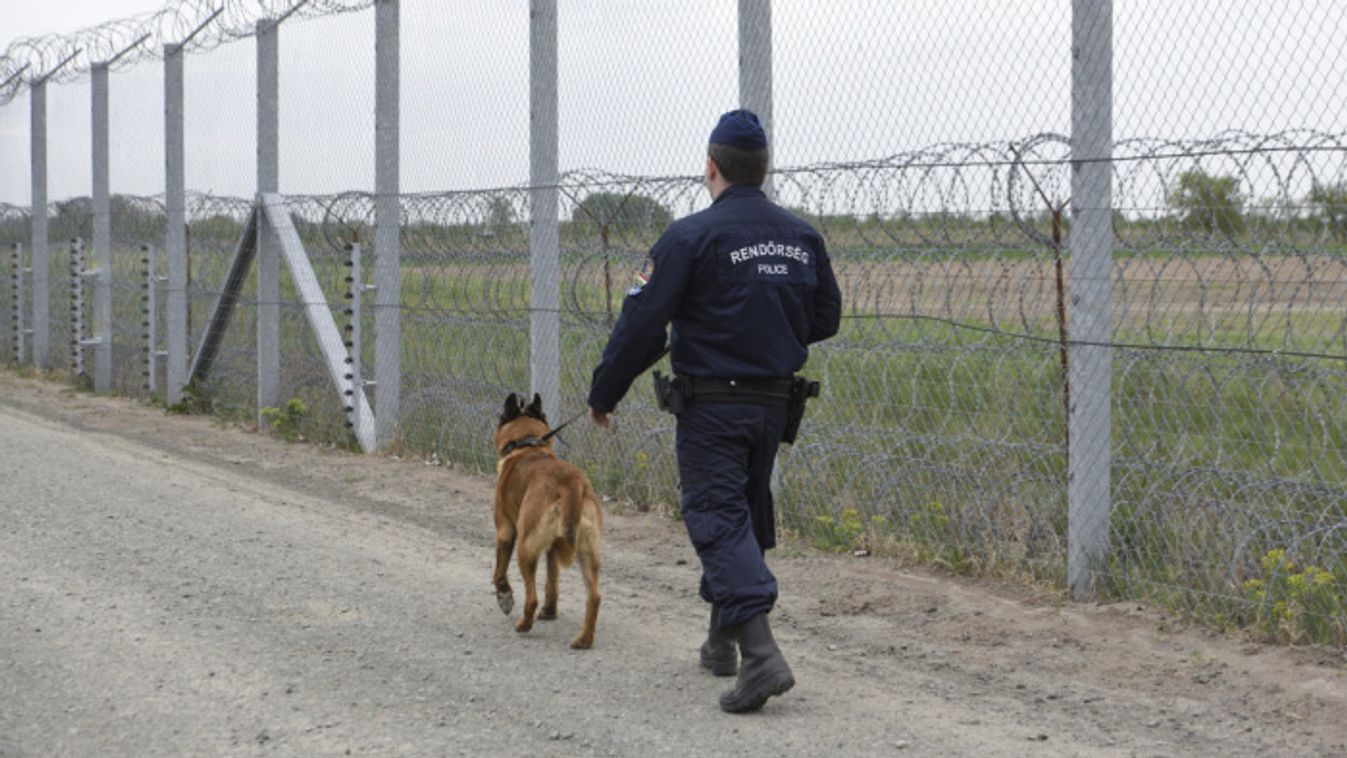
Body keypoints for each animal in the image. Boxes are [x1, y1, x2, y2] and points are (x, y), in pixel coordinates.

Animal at [493, 395, 603, 648]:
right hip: (587, 552)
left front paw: (504, 596)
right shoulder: (552, 547)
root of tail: (572, 483)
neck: (527, 445)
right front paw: (550, 611)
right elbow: (552, 580)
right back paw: (584, 639)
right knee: (594, 597)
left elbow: (499, 571)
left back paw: (524, 624)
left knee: (531, 597)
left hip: (525, 548)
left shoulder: (505, 531)